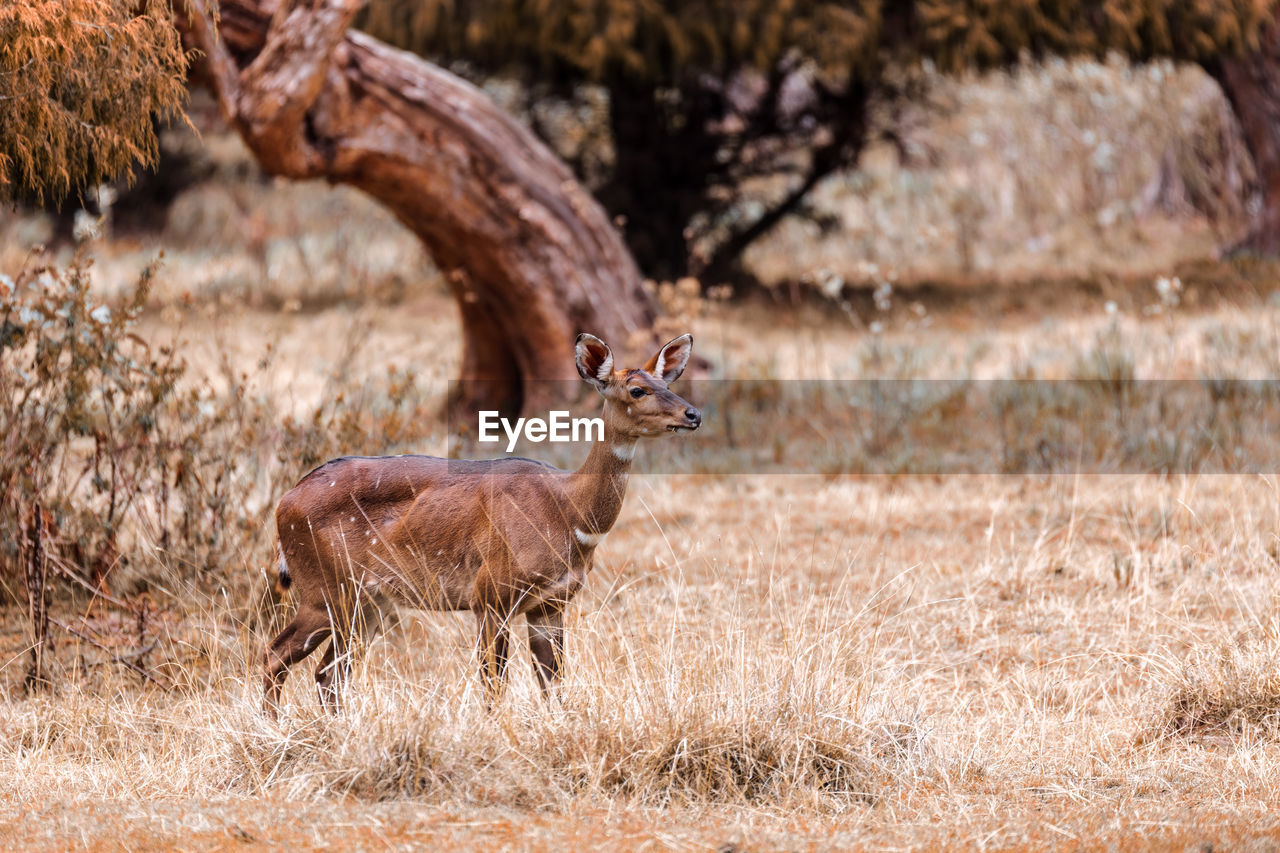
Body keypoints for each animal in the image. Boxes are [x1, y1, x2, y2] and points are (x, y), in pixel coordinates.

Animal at [262, 333, 701, 712]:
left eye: (667, 381)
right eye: (637, 390)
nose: (692, 414)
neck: (567, 514)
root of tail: (285, 503)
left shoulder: (551, 604)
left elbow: (553, 685)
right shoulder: (490, 595)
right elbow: (494, 685)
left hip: (368, 604)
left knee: (327, 674)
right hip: (326, 592)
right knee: (277, 656)